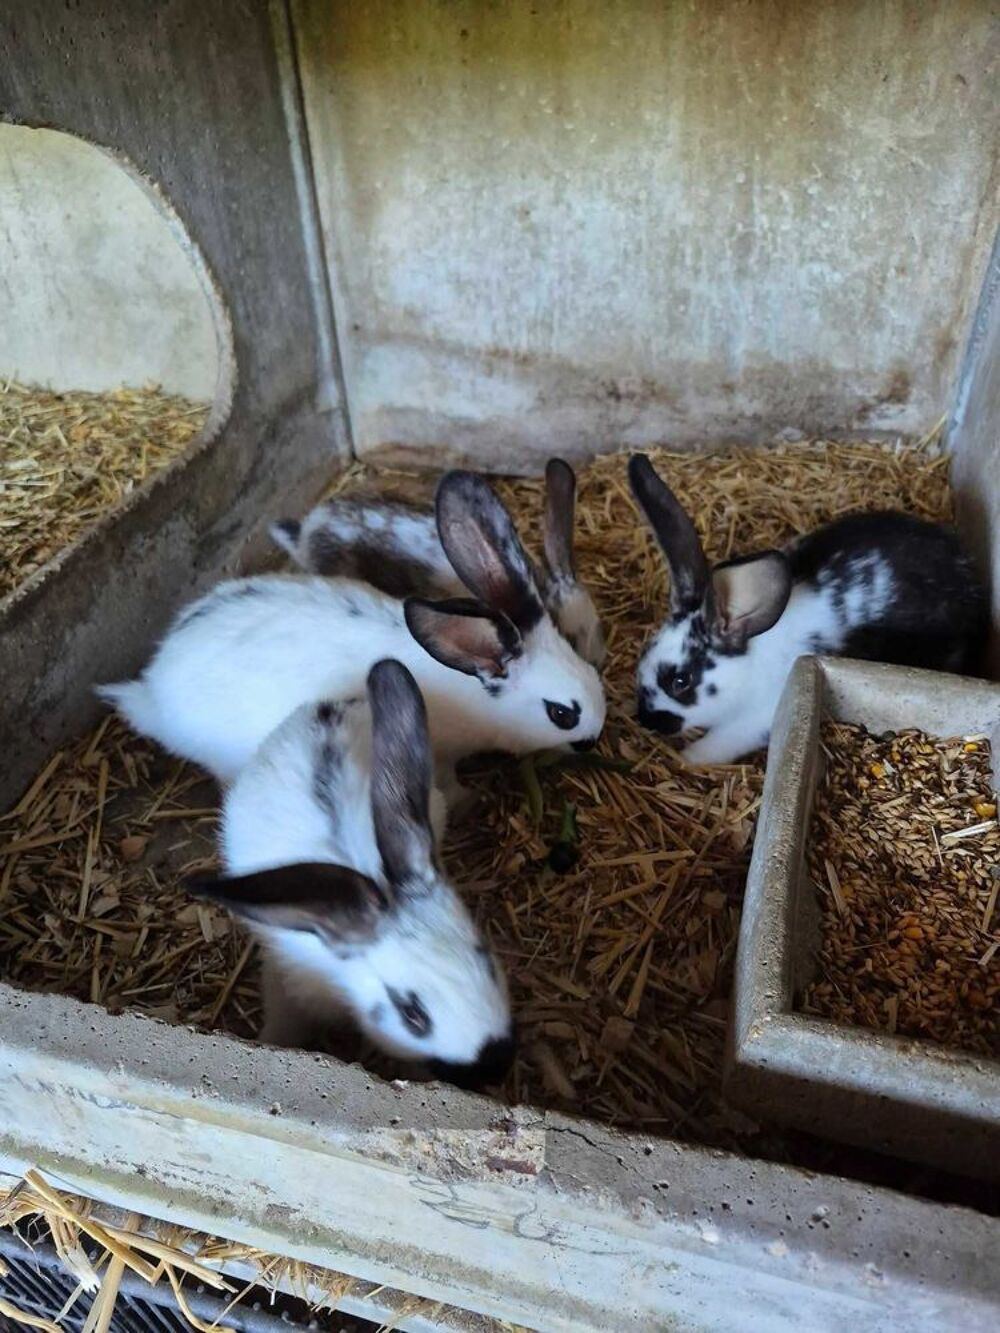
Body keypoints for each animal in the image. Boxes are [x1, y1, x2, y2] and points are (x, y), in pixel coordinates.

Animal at [186, 659, 514, 1087]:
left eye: (486, 958)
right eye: (412, 1014)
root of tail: (324, 709)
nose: (495, 1066)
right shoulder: (289, 981)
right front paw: (271, 1042)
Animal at [628, 453, 988, 766]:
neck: (751, 661)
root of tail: (965, 571)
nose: (646, 721)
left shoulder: (756, 717)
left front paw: (689, 759)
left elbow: (722, 741)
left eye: (680, 681)